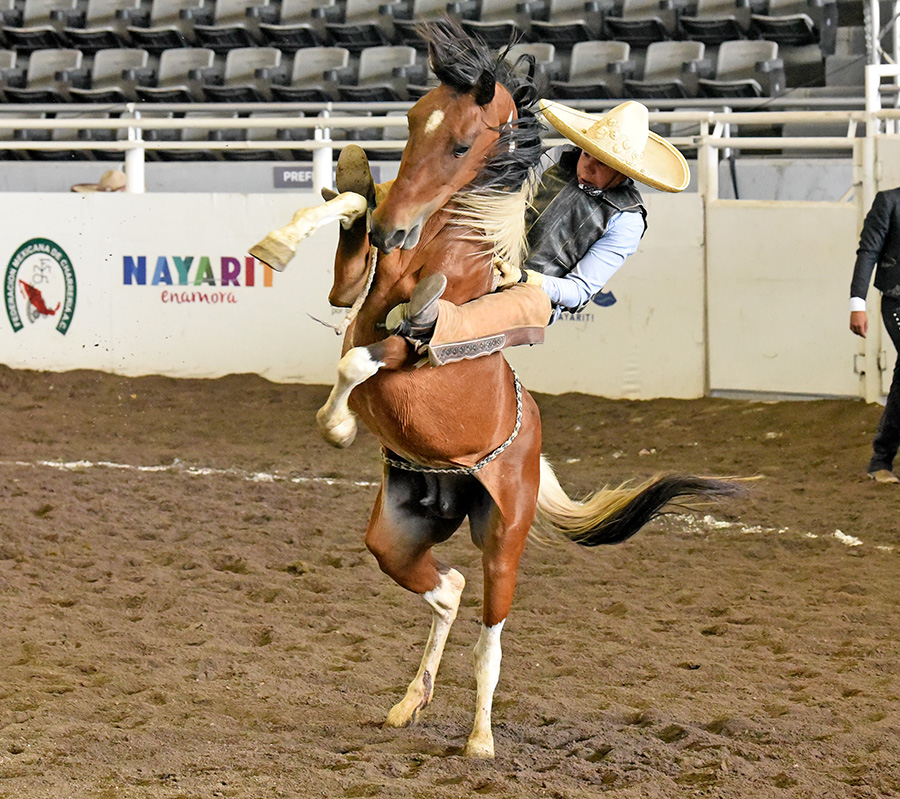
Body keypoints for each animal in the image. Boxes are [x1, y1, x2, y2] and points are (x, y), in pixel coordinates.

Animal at [250, 18, 736, 760]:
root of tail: (529, 433)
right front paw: (292, 232)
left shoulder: (419, 345)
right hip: (399, 530)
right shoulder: (358, 289)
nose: (396, 225)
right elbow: (351, 227)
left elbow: (360, 361)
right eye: (413, 119)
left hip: (504, 537)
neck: (447, 253)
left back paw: (480, 737)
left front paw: (338, 425)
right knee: (447, 587)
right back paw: (408, 701)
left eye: (459, 143)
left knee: (490, 632)